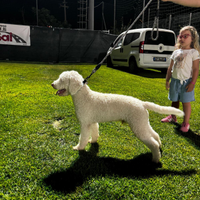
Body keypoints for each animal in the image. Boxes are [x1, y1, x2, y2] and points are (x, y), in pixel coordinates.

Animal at [52, 71, 184, 163]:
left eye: (62, 79)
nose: (52, 84)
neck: (84, 96)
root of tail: (142, 103)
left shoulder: (85, 124)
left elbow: (83, 137)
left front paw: (78, 147)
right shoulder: (92, 122)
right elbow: (94, 133)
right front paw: (92, 141)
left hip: (138, 126)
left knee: (153, 143)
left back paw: (155, 159)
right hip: (142, 123)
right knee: (155, 135)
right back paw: (159, 147)